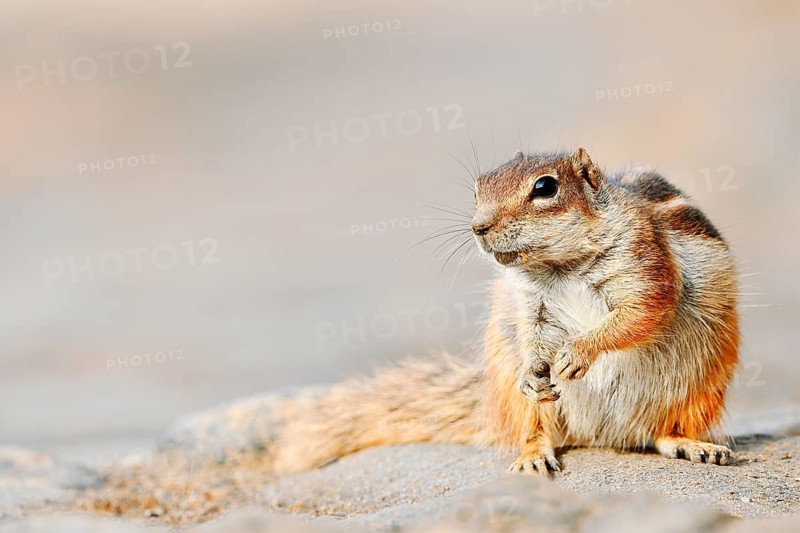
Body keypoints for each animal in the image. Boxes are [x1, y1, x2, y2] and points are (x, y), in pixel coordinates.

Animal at [271, 147, 739, 475]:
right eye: (478, 189)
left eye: (545, 187)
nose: (478, 227)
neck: (560, 266)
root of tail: (606, 435)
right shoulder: (528, 301)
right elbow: (531, 331)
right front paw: (535, 370)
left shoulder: (643, 263)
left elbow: (640, 312)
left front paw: (578, 353)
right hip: (514, 389)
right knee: (535, 428)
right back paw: (533, 454)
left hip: (699, 388)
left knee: (662, 433)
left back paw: (694, 446)